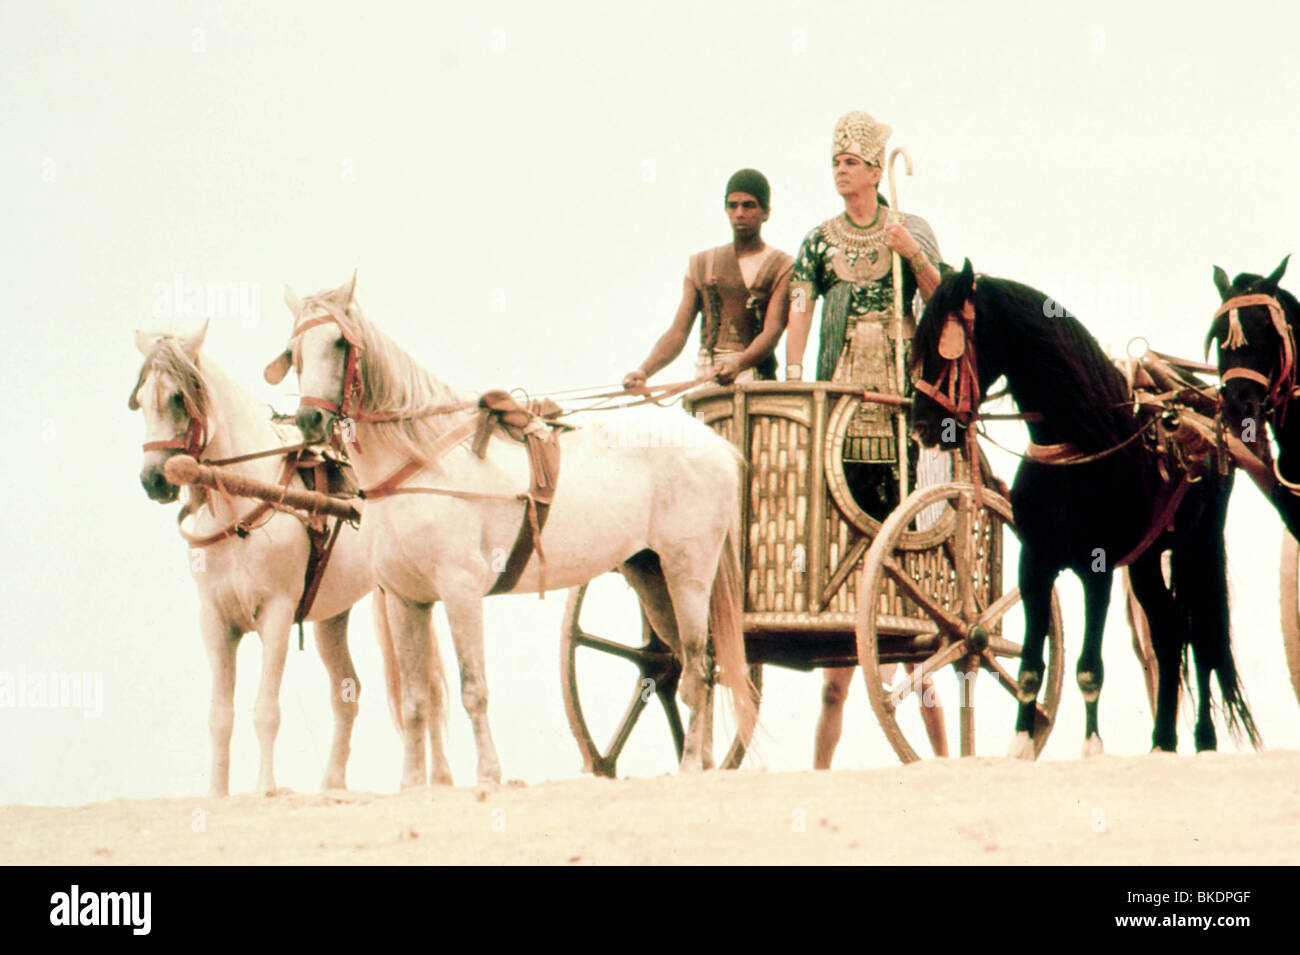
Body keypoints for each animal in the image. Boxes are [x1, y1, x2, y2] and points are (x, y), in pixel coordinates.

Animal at [128, 324, 421, 795]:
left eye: (177, 397)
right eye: (140, 400)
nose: (153, 479)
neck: (246, 497)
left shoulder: (277, 614)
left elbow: (266, 710)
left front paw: (265, 787)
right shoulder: (215, 621)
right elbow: (220, 716)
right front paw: (217, 792)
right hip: (331, 617)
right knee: (347, 693)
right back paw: (333, 782)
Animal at [270, 274, 759, 784]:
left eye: (340, 342)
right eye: (293, 350)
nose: (310, 420)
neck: (423, 465)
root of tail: (716, 445)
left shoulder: (461, 593)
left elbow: (473, 689)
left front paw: (488, 774)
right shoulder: (407, 600)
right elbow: (416, 701)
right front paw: (412, 783)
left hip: (689, 573)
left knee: (699, 667)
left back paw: (690, 764)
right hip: (651, 576)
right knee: (693, 664)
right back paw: (705, 763)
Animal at [909, 259, 1253, 753]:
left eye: (948, 344)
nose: (921, 425)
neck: (1078, 446)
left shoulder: (1098, 571)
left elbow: (1090, 669)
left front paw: (1092, 747)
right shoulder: (1035, 566)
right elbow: (1030, 669)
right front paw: (1020, 746)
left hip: (1197, 547)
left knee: (1200, 635)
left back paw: (1202, 740)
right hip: (1146, 561)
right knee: (1168, 631)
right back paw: (1162, 741)